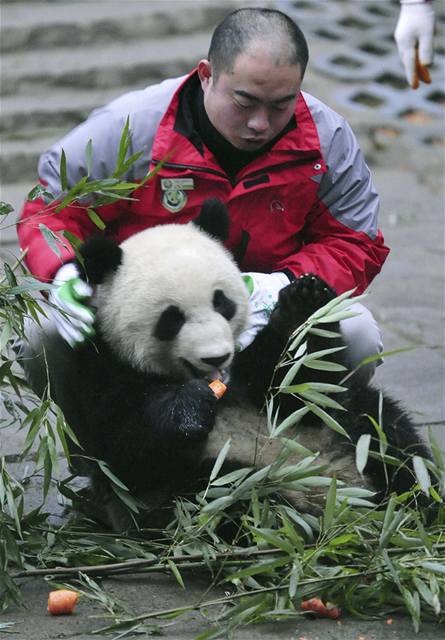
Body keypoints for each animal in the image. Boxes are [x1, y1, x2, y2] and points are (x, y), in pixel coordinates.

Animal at [49, 199, 434, 528]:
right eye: (171, 319)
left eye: (222, 302)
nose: (216, 356)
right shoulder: (101, 366)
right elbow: (125, 449)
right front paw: (188, 408)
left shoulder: (257, 378)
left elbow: (297, 383)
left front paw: (304, 297)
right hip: (213, 483)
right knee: (234, 499)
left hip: (346, 432)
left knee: (389, 435)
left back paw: (415, 507)